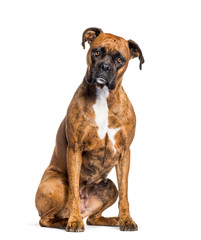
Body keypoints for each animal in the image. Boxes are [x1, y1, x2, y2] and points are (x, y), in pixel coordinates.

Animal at [35, 27, 144, 232]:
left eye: (120, 59)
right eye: (96, 52)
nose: (105, 67)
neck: (103, 96)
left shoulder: (124, 153)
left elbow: (125, 193)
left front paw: (126, 220)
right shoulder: (75, 149)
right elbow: (74, 194)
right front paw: (74, 221)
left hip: (109, 186)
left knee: (93, 218)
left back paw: (113, 220)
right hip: (58, 182)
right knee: (46, 219)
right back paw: (66, 221)